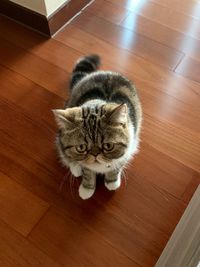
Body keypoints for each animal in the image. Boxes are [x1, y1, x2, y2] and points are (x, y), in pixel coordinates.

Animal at [52, 55, 141, 200]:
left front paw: (112, 182)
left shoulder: (130, 143)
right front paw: (87, 189)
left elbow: (117, 166)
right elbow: (87, 172)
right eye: (81, 147)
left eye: (108, 146)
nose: (94, 154)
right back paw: (75, 168)